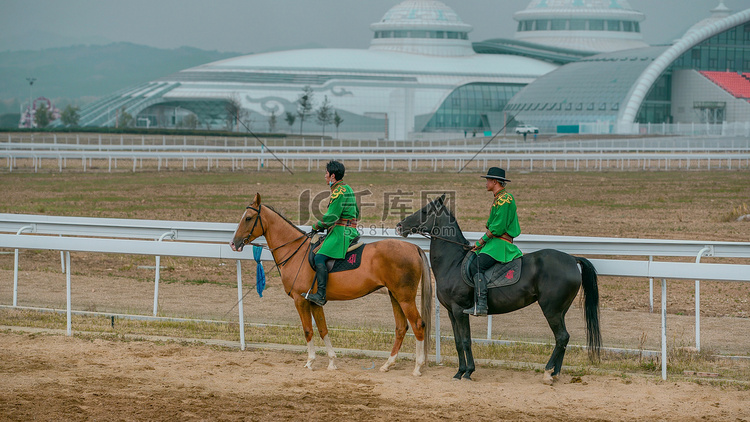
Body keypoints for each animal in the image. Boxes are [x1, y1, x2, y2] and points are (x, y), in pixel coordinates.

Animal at [229, 194, 434, 376]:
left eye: (248, 218)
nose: (233, 243)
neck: (295, 251)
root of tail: (413, 247)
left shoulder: (300, 300)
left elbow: (308, 330)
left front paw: (310, 362)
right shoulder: (314, 302)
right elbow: (322, 329)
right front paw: (332, 362)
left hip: (404, 298)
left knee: (418, 325)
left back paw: (417, 367)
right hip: (395, 296)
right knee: (401, 328)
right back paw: (387, 364)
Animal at [396, 195, 604, 382]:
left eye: (424, 211)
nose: (400, 226)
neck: (453, 263)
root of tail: (572, 259)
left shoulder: (459, 310)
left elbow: (466, 341)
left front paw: (468, 371)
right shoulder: (451, 312)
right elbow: (458, 342)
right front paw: (460, 371)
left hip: (551, 309)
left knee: (561, 337)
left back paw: (547, 372)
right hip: (560, 311)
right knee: (563, 339)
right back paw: (555, 373)